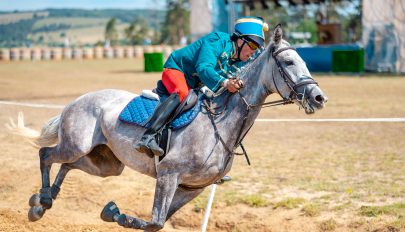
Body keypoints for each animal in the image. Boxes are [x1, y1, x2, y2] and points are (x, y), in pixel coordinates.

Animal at [10, 24, 326, 230]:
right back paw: (43, 199)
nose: (319, 98)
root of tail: (77, 100)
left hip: (106, 164)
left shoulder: (192, 188)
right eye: (288, 61)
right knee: (47, 155)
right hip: (77, 144)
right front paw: (112, 212)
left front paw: (112, 212)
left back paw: (42, 202)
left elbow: (159, 222)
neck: (221, 125)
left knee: (68, 165)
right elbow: (154, 222)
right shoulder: (168, 175)